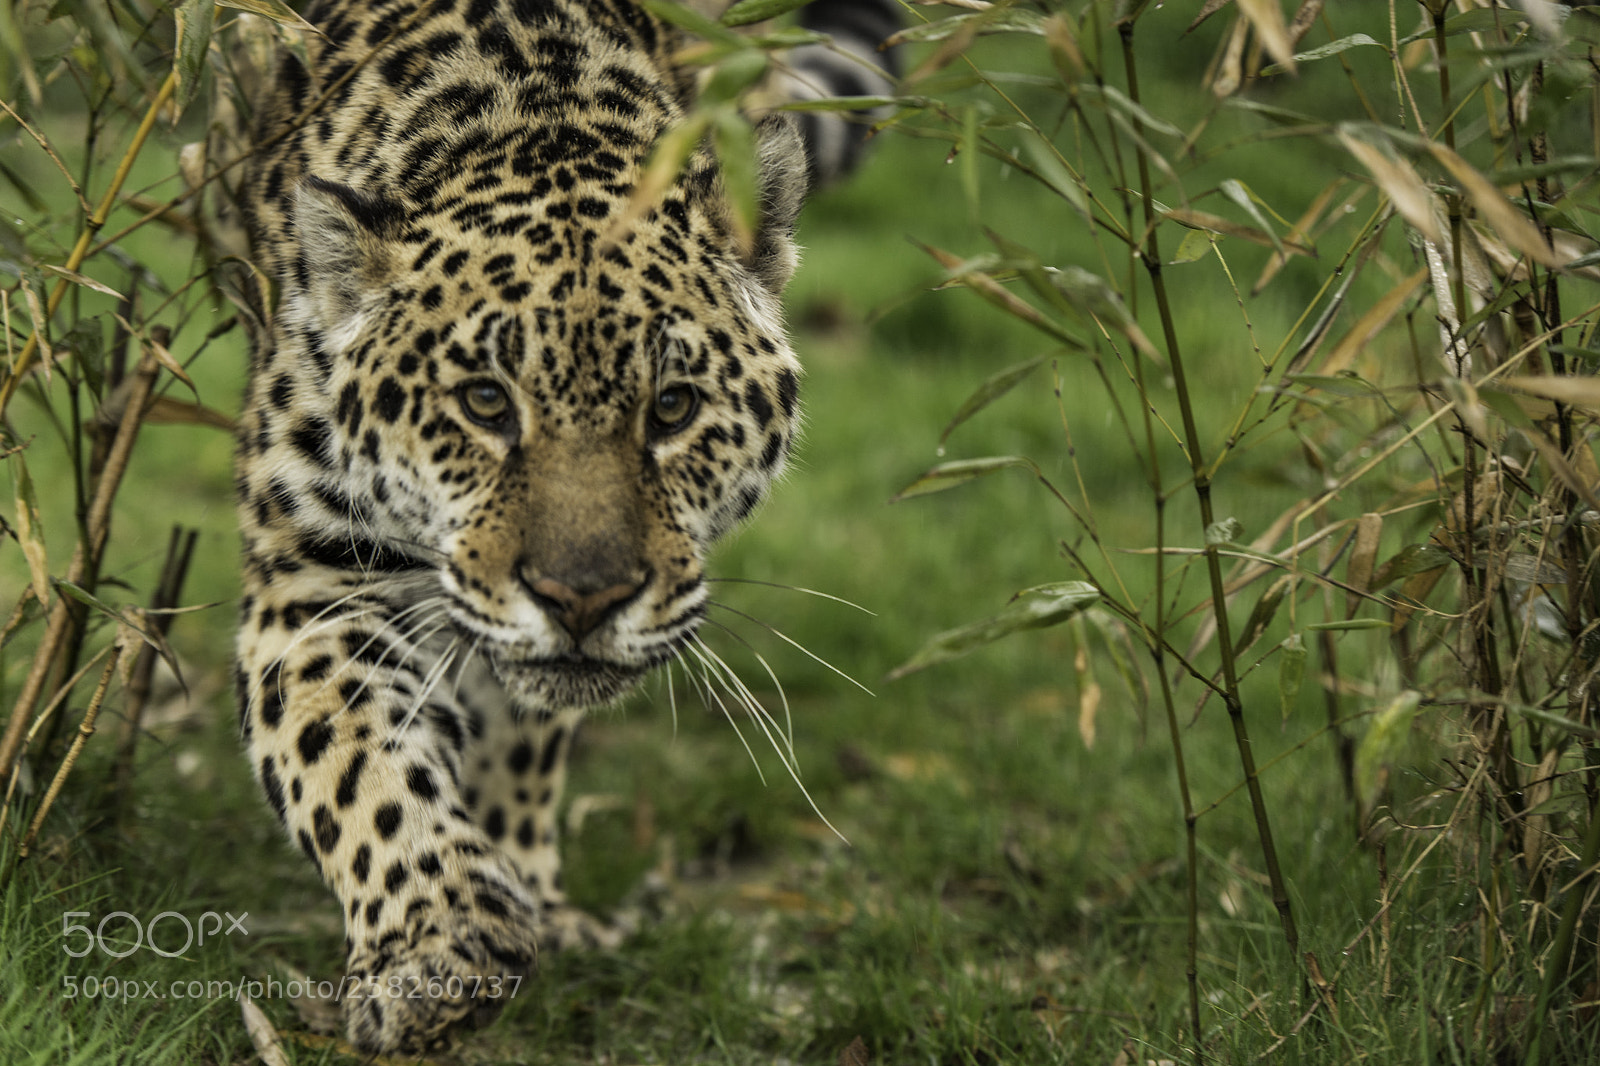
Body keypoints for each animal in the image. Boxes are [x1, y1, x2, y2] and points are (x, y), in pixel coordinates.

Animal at [230, 0, 897, 1054]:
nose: (582, 601)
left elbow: (520, 733)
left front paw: (525, 898)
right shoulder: (314, 580)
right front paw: (437, 945)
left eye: (672, 408)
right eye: (484, 402)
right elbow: (352, 764)